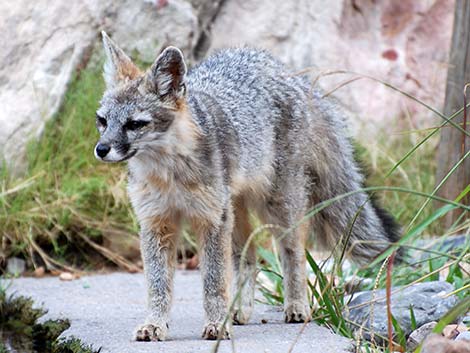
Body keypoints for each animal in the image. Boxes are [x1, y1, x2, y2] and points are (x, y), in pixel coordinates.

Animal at [95, 32, 400, 340]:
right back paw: (241, 310)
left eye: (135, 124)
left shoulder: (212, 221)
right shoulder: (157, 222)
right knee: (249, 255)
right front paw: (155, 324)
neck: (170, 176)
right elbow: (158, 285)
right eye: (103, 121)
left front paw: (216, 325)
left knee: (293, 254)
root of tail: (286, 72)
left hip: (277, 208)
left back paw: (296, 306)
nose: (101, 149)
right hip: (236, 211)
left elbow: (214, 282)